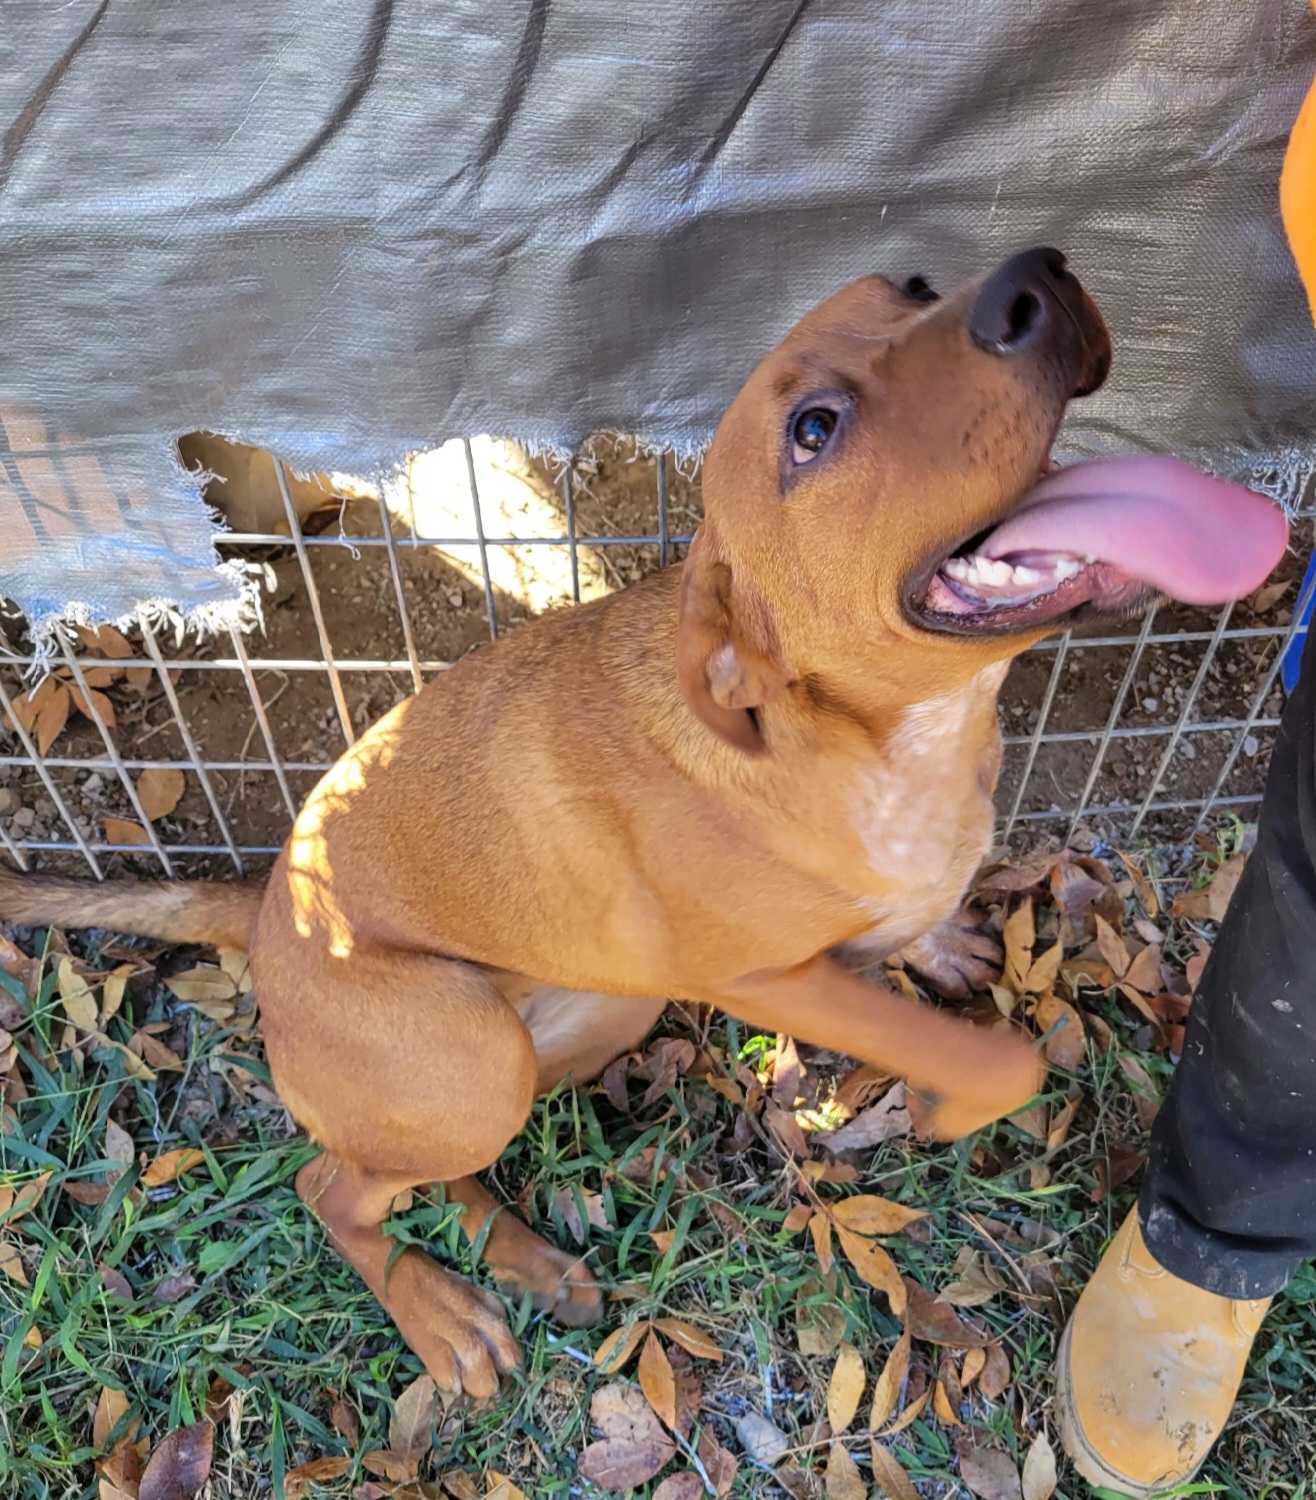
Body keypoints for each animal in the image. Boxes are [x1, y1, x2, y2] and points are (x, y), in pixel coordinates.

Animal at [0, 243, 1290, 1392]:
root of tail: (269, 903)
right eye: (812, 429)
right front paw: (955, 1091)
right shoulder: (769, 982)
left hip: (577, 1024)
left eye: (916, 285)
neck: (876, 743)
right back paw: (439, 1315)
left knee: (399, 1168)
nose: (1037, 274)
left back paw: (512, 1253)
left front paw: (933, 941)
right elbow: (983, 1054)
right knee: (333, 1190)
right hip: (469, 1055)